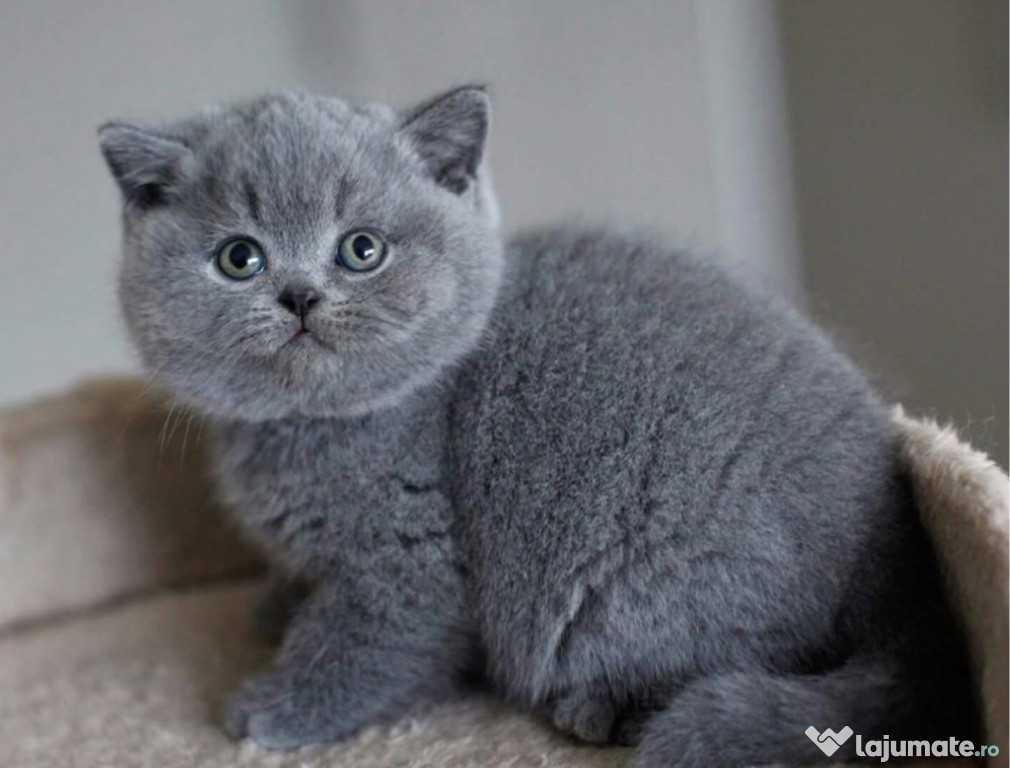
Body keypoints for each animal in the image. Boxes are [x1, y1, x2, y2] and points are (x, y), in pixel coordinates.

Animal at [98, 86, 973, 763]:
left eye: (361, 250)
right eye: (239, 258)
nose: (301, 296)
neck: (307, 427)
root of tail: (906, 574)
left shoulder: (407, 560)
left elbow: (362, 645)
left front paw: (275, 708)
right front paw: (278, 606)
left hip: (654, 576)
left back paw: (605, 708)